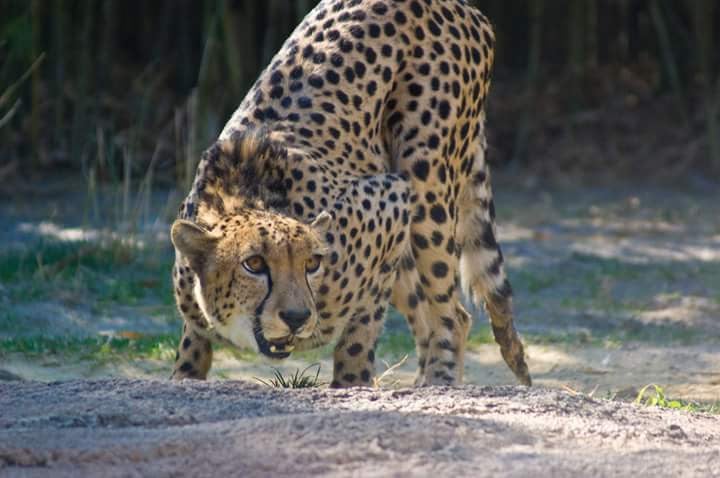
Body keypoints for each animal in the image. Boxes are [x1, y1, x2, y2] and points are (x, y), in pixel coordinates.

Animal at [170, 0, 531, 388]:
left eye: (312, 263)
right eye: (254, 264)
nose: (296, 317)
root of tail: (459, 6)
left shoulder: (391, 199)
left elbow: (362, 327)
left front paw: (351, 380)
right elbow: (192, 344)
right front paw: (186, 372)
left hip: (424, 184)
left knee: (452, 314)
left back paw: (440, 380)